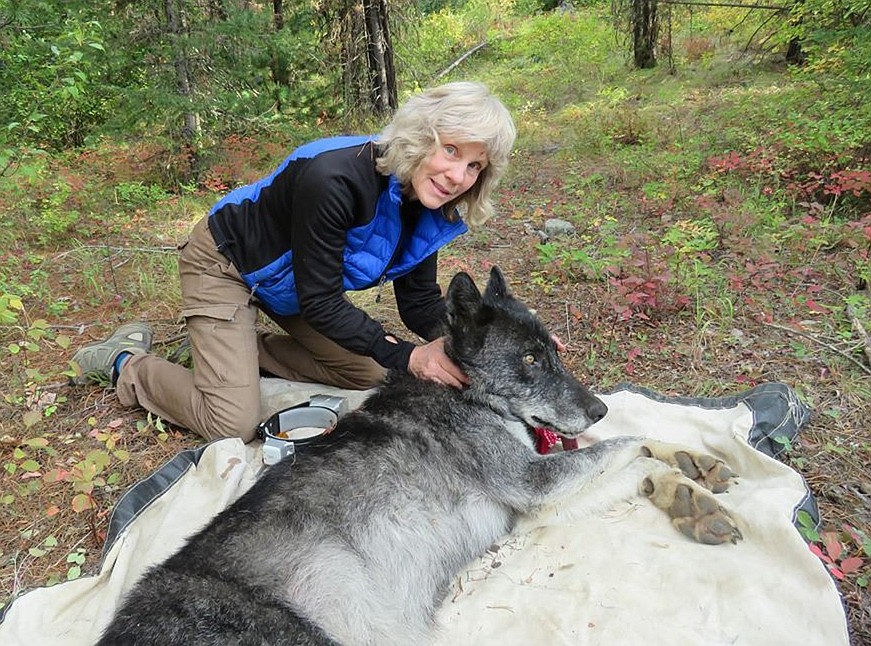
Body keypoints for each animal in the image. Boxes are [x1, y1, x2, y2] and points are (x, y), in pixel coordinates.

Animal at [100, 268, 744, 646]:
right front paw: (682, 481)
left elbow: (638, 444)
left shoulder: (534, 507)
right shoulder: (535, 482)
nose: (599, 408)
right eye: (531, 359)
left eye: (554, 352)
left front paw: (690, 478)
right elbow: (631, 443)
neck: (466, 393)